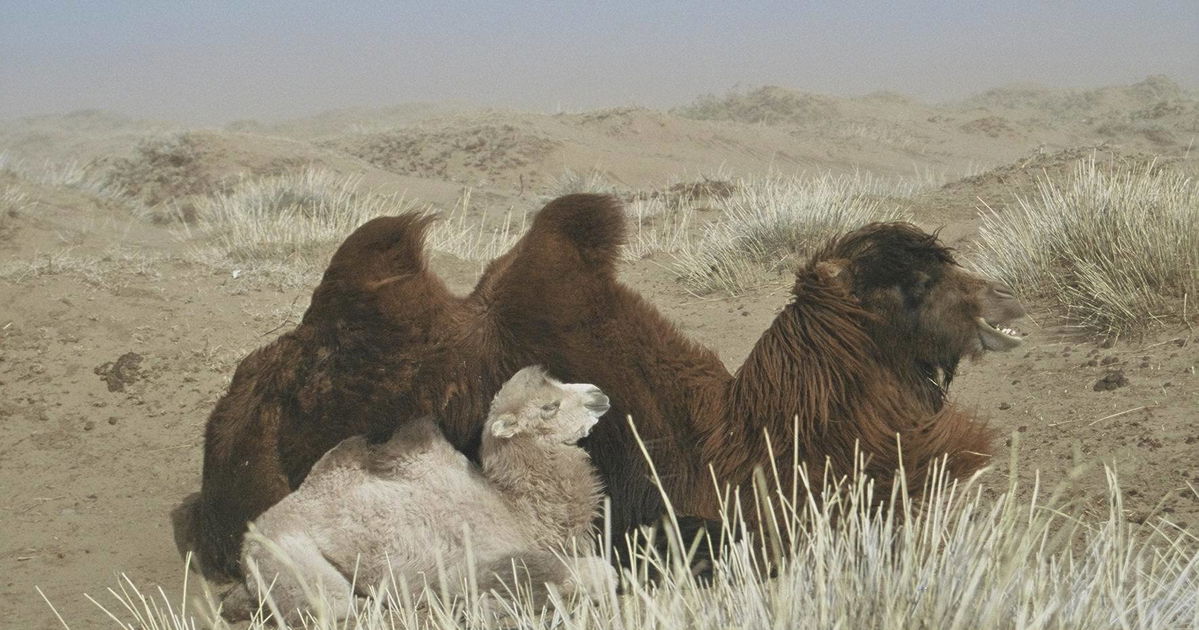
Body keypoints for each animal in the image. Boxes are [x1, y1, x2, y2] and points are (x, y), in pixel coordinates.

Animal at [222, 366, 614, 622]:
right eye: (550, 406)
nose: (600, 396)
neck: (519, 510)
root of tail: (246, 541)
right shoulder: (470, 566)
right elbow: (590, 572)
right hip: (290, 560)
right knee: (335, 609)